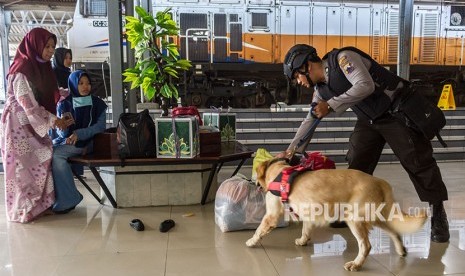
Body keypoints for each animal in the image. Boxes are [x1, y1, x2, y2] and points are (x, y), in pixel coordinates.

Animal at [245, 157, 426, 272]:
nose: (252, 182)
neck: (279, 172)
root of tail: (379, 181)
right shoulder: (308, 212)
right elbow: (306, 230)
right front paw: (303, 240)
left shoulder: (272, 216)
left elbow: (259, 230)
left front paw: (252, 241)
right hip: (376, 216)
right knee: (395, 231)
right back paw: (401, 250)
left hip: (355, 219)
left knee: (366, 246)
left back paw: (356, 264)